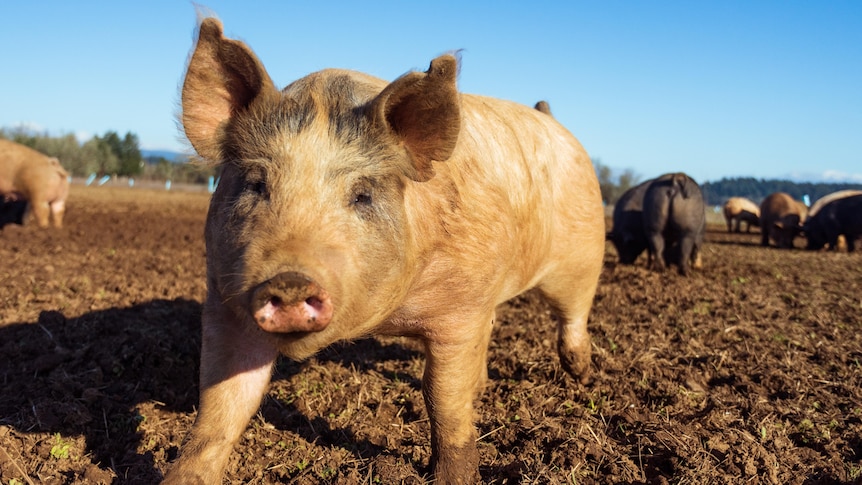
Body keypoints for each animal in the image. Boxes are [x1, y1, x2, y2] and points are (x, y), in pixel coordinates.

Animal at [164, 18, 608, 484]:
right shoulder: (224, 300)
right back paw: (486, 385)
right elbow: (221, 407)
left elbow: (442, 400)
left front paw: (451, 477)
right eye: (256, 184)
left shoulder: (460, 309)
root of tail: (551, 118)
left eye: (362, 195)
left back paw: (581, 375)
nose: (289, 279)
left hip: (583, 253)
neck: (383, 320)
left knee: (573, 315)